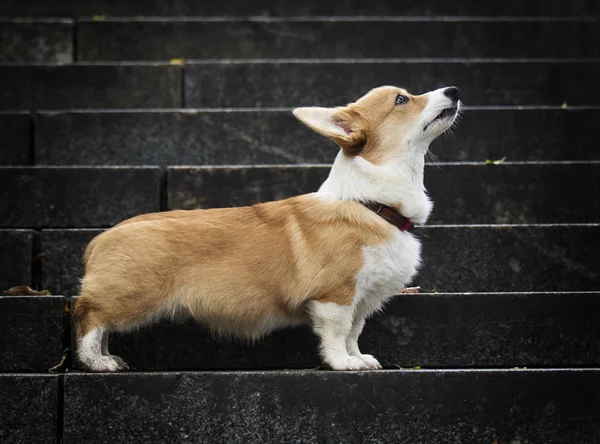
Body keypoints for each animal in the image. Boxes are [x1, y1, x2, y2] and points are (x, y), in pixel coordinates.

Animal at [74, 84, 460, 372]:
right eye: (401, 99)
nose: (454, 90)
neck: (371, 204)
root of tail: (99, 240)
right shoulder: (335, 295)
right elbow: (337, 334)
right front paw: (343, 363)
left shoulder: (362, 299)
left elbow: (354, 332)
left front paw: (359, 358)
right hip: (133, 296)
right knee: (88, 316)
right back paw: (97, 362)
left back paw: (106, 357)